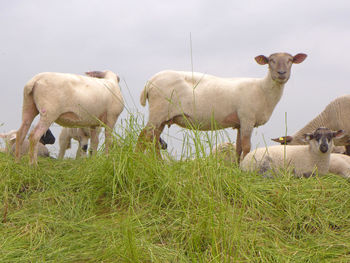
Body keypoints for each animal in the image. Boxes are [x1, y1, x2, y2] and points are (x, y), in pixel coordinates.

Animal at [136, 52, 306, 161]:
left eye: (290, 60)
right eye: (271, 60)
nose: (281, 73)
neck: (262, 89)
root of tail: (149, 82)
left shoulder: (239, 123)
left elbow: (238, 148)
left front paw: (237, 168)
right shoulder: (247, 118)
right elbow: (247, 147)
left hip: (163, 118)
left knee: (153, 140)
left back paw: (159, 164)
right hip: (158, 112)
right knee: (143, 136)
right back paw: (137, 159)